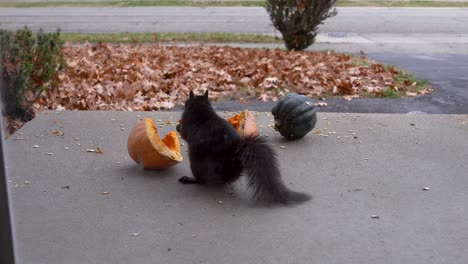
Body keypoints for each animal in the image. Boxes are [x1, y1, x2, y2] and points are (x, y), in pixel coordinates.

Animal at [176, 91, 310, 206]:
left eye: (186, 102)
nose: (184, 104)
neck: (203, 111)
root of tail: (228, 171)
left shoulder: (187, 124)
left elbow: (184, 133)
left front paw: (178, 127)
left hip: (196, 163)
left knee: (201, 180)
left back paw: (189, 179)